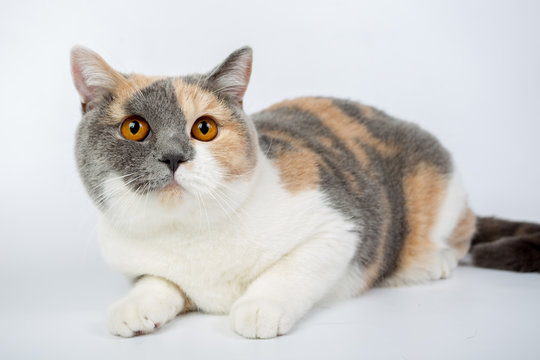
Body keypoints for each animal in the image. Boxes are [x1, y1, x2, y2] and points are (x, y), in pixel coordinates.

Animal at [70, 46, 540, 338]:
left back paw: (433, 260)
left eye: (204, 129)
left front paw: (259, 307)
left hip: (439, 184)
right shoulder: (141, 263)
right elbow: (158, 281)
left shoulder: (339, 228)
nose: (173, 157)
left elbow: (289, 271)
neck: (191, 233)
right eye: (135, 128)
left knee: (462, 232)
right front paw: (135, 307)